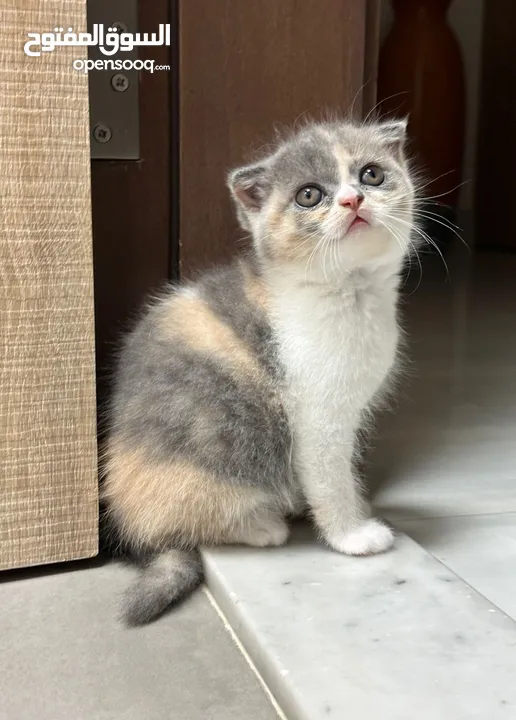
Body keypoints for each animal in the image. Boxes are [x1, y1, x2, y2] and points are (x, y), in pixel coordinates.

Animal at [104, 116, 416, 624]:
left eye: (371, 174)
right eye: (309, 195)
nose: (352, 200)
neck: (348, 293)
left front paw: (357, 505)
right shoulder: (318, 417)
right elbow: (330, 477)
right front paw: (351, 533)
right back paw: (263, 525)